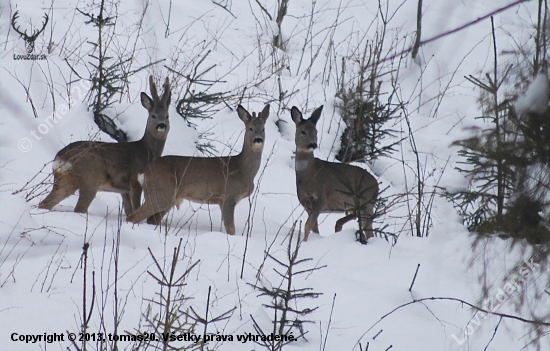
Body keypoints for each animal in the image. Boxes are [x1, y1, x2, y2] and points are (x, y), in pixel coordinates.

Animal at [38, 75, 171, 216]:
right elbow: (136, 209)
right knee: (79, 208)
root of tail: (60, 157)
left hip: (64, 181)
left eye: (167, 116)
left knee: (45, 203)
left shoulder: (124, 190)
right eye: (153, 115)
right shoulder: (135, 180)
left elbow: (128, 212)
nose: (161, 125)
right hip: (91, 179)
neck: (147, 151)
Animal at [127, 104, 270, 236]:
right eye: (250, 128)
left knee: (151, 220)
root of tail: (145, 171)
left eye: (263, 129)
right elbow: (231, 230)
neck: (242, 169)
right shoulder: (227, 196)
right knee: (133, 217)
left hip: (168, 197)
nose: (258, 140)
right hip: (161, 192)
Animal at [292, 106, 378, 241]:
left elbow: (308, 225)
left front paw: (303, 243)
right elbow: (314, 228)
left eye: (316, 132)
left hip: (366, 204)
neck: (310, 175)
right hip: (356, 206)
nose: (313, 144)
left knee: (370, 232)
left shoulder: (321, 198)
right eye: (303, 131)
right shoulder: (306, 203)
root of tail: (377, 185)